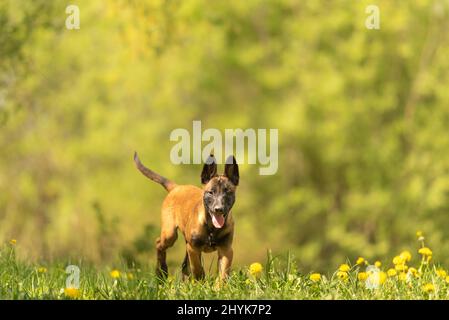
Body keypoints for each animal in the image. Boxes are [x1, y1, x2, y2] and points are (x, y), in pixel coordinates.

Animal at [133, 152, 238, 280]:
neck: (211, 229)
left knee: (184, 265)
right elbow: (197, 269)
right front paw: (200, 281)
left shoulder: (226, 250)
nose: (218, 209)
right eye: (210, 192)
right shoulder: (193, 248)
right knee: (159, 243)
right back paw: (161, 272)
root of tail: (176, 187)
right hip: (170, 234)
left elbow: (223, 274)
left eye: (228, 192)